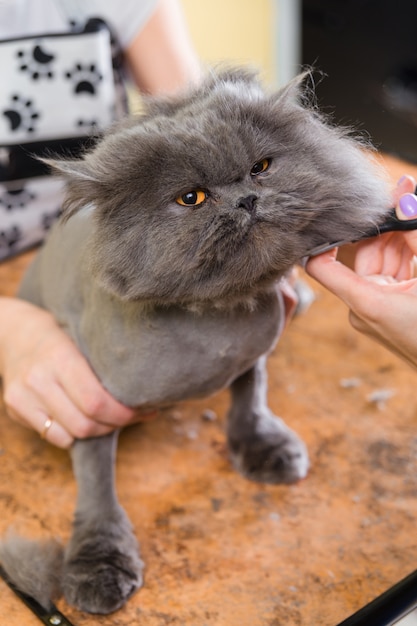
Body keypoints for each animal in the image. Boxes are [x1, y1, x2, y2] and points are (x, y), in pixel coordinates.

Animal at [0, 70, 390, 612]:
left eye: (261, 168)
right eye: (193, 199)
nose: (247, 199)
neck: (214, 321)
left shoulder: (253, 348)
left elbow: (250, 396)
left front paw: (262, 445)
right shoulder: (90, 401)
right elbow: (97, 488)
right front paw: (98, 563)